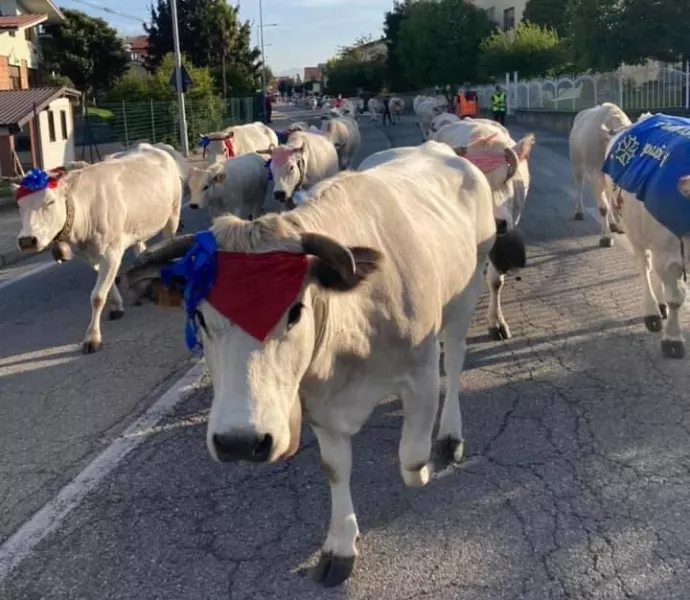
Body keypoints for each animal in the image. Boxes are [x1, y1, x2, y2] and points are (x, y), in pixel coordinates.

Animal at [14, 144, 181, 354]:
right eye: (19, 206)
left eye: (50, 202)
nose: (26, 240)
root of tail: (152, 146)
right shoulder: (90, 254)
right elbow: (107, 287)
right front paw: (117, 306)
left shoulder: (111, 251)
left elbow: (98, 296)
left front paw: (92, 338)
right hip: (138, 226)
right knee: (141, 250)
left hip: (173, 215)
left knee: (169, 242)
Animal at [119, 139, 528, 584]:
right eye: (198, 316)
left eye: (295, 311)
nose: (240, 441)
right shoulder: (315, 401)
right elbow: (335, 468)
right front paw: (341, 544)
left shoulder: (419, 374)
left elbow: (411, 456)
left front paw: (420, 469)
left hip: (468, 288)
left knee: (453, 361)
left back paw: (450, 434)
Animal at [564, 103, 628, 246]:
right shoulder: (597, 174)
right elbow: (604, 207)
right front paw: (606, 237)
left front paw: (619, 226)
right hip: (577, 165)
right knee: (579, 188)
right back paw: (579, 212)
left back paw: (613, 223)